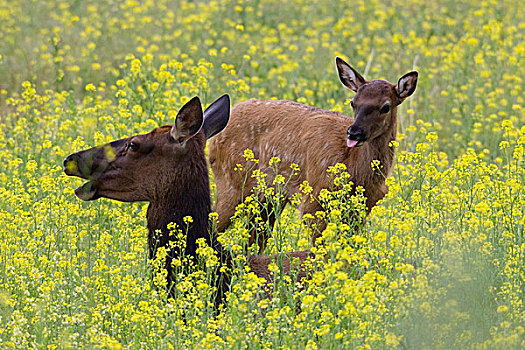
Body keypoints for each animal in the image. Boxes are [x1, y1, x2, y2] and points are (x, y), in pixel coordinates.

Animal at [209, 56, 418, 249]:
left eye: (385, 107)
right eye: (353, 102)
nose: (354, 132)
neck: (355, 170)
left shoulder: (363, 207)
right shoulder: (313, 198)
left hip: (267, 197)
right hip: (232, 183)